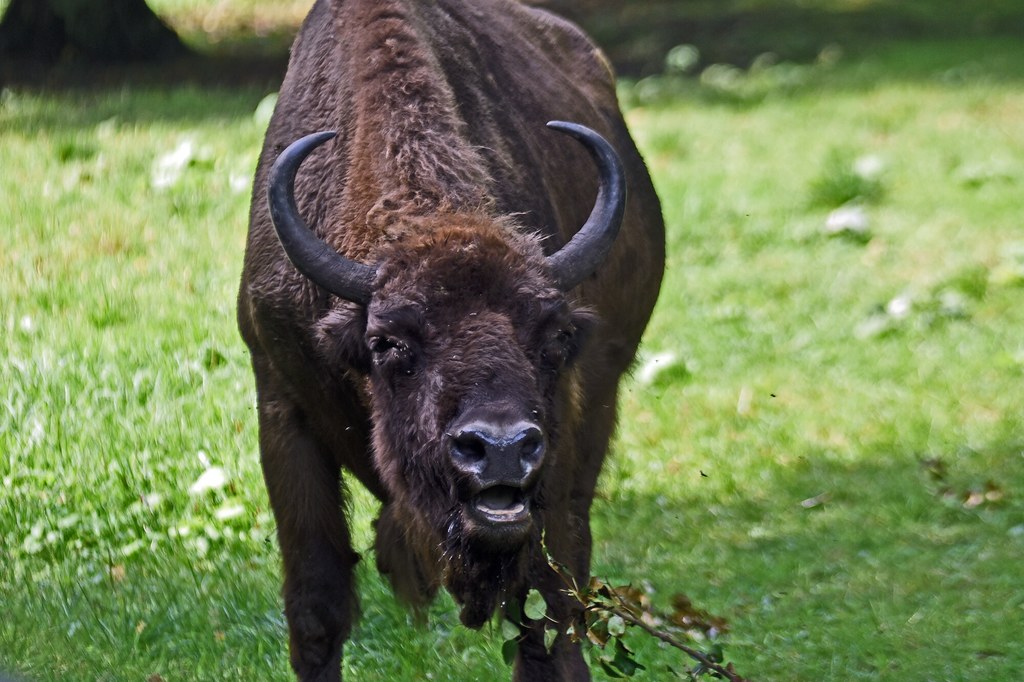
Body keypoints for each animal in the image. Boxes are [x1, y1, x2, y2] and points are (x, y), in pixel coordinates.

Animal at [235, 0, 663, 675]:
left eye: (555, 335)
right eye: (389, 343)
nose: (502, 450)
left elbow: (549, 609)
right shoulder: (282, 407)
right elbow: (317, 610)